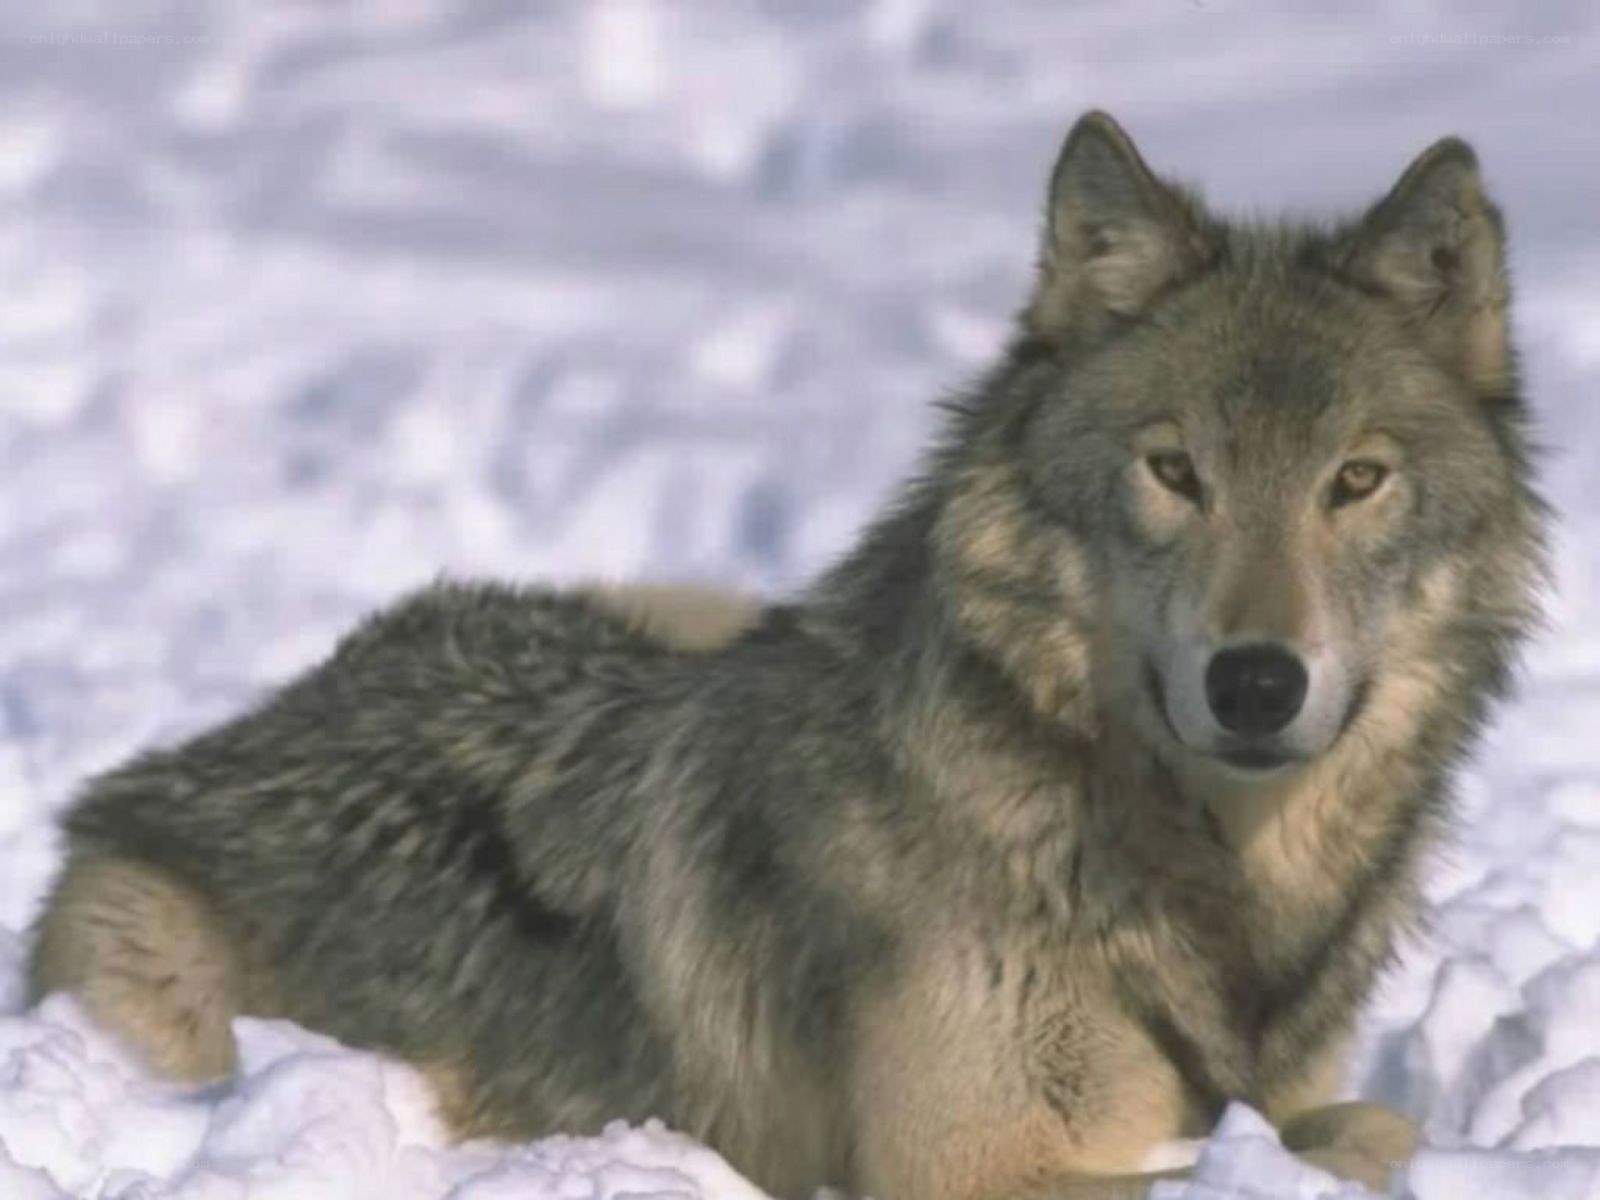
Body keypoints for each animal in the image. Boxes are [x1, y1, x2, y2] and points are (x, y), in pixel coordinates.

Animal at [29, 112, 1544, 1199]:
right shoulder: (974, 1170)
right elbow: (1363, 1136)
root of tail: (203, 751)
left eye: (1356, 480)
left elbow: (1348, 1119)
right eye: (1175, 471)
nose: (1256, 682)